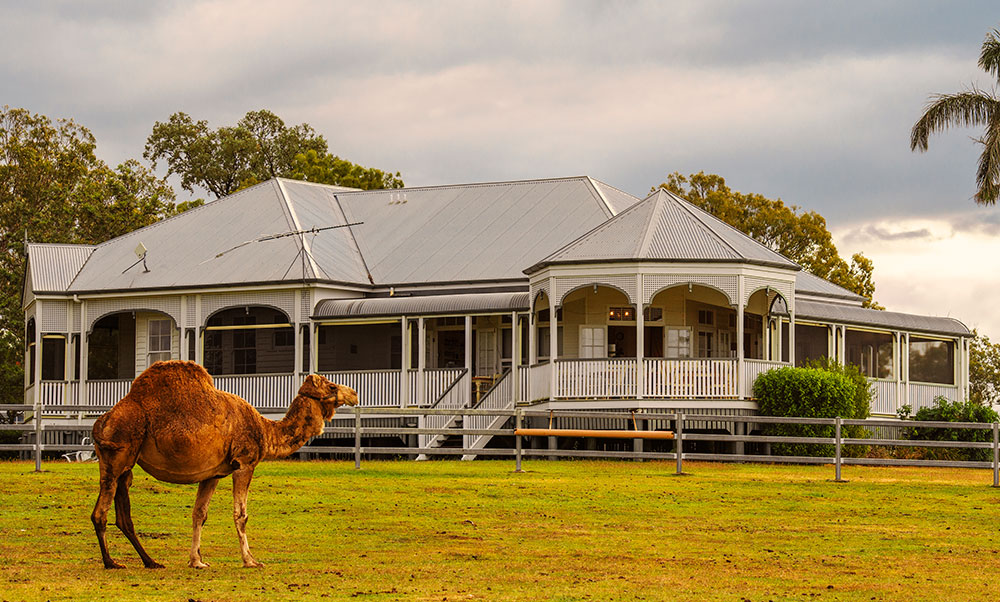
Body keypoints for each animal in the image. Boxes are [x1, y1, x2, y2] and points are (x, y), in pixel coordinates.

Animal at [88, 358, 358, 568]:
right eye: (332, 385)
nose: (354, 393)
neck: (264, 429)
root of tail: (101, 422)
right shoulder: (245, 462)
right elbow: (241, 514)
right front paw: (251, 561)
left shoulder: (213, 474)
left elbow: (199, 514)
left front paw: (197, 561)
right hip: (116, 455)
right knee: (100, 512)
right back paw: (111, 562)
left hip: (126, 465)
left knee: (123, 515)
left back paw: (150, 561)